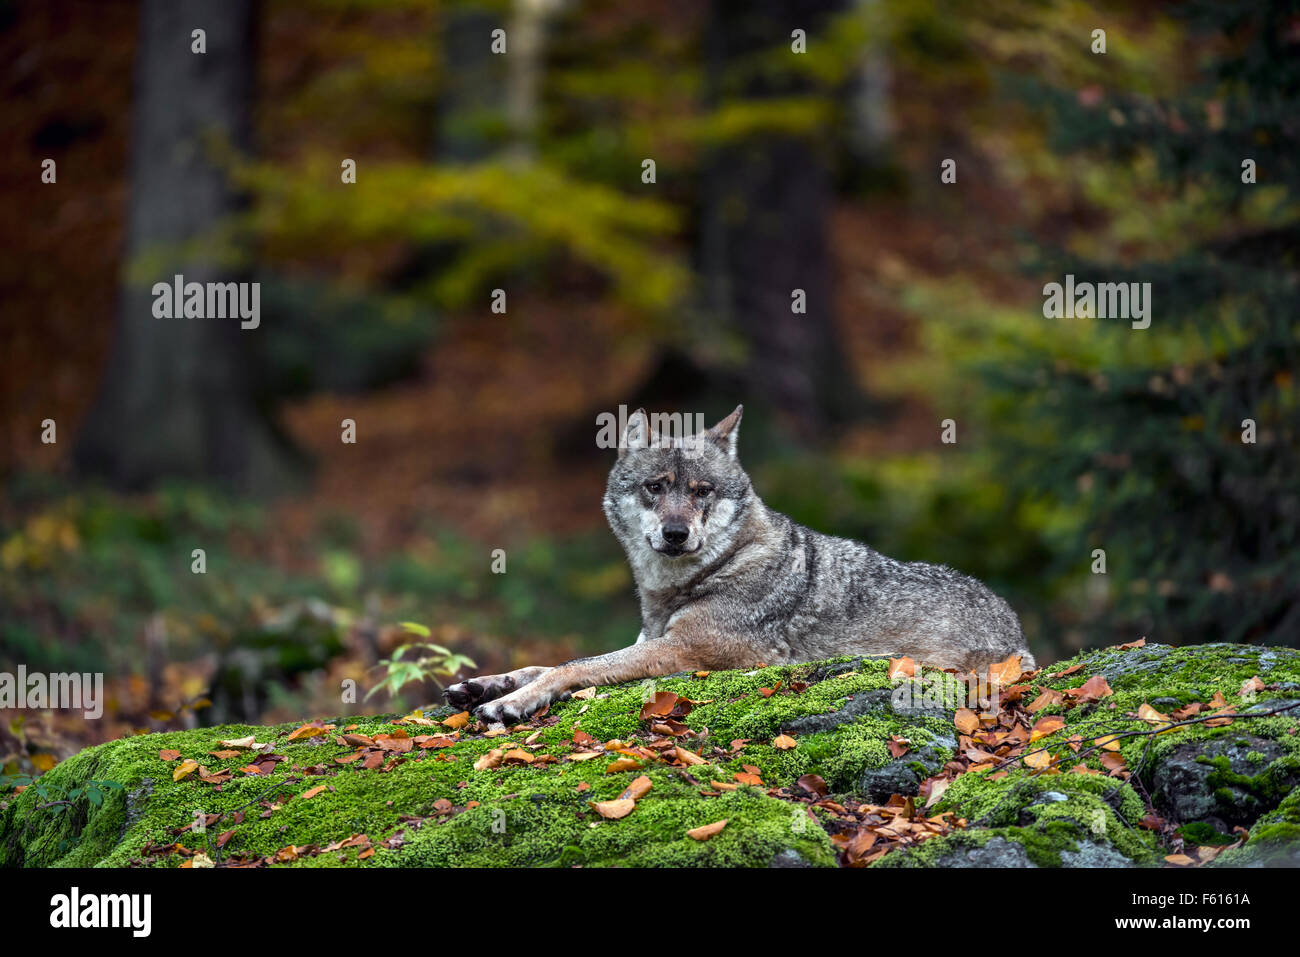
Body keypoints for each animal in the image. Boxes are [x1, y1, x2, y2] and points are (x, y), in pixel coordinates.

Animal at [447, 403, 1034, 722]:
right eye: (655, 487)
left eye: (702, 491)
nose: (676, 533)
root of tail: (1017, 630)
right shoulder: (652, 639)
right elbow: (545, 662)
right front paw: (488, 684)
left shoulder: (684, 650)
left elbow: (573, 666)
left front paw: (511, 703)